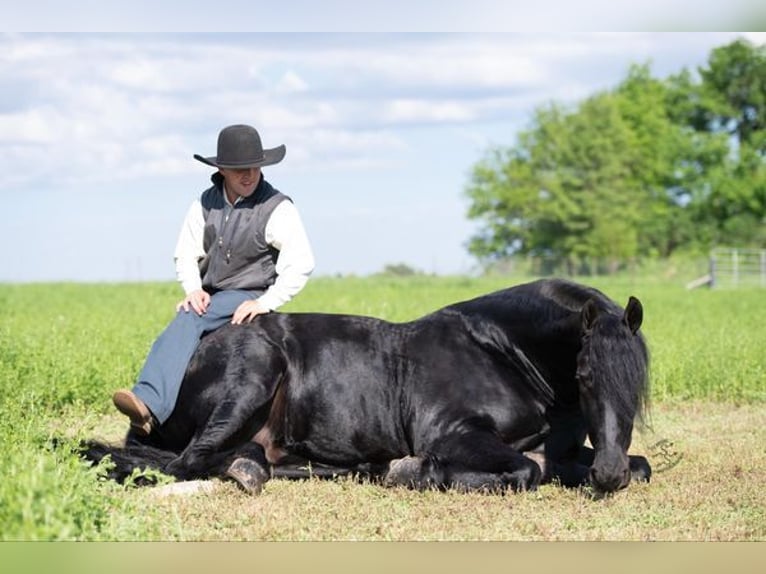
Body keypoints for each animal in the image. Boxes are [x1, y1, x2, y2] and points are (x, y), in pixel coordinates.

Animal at [81, 282, 652, 498]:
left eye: (639, 382)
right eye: (585, 376)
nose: (609, 475)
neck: (502, 353)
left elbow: (640, 464)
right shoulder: (452, 435)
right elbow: (524, 472)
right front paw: (412, 471)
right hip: (251, 379)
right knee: (184, 464)